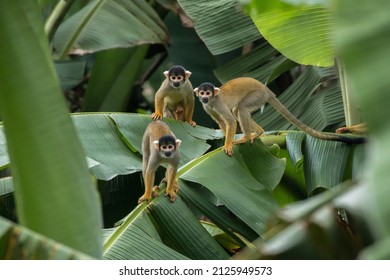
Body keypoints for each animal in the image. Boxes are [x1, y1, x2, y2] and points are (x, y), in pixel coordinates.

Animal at [193, 77, 368, 156]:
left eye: (208, 93)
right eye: (202, 93)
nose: (204, 97)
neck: (212, 101)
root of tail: (268, 90)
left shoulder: (218, 103)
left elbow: (229, 121)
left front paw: (228, 144)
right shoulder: (208, 107)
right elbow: (222, 122)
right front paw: (226, 142)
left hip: (258, 96)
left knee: (240, 109)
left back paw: (247, 136)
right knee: (238, 110)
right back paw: (258, 132)